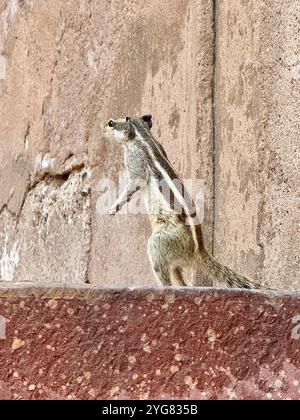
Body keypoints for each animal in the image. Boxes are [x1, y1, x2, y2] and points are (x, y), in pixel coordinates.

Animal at [104, 115, 268, 290]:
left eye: (112, 123)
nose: (104, 128)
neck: (142, 135)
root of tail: (198, 252)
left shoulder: (135, 161)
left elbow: (133, 184)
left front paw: (114, 207)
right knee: (178, 273)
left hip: (160, 243)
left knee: (164, 271)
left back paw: (162, 287)